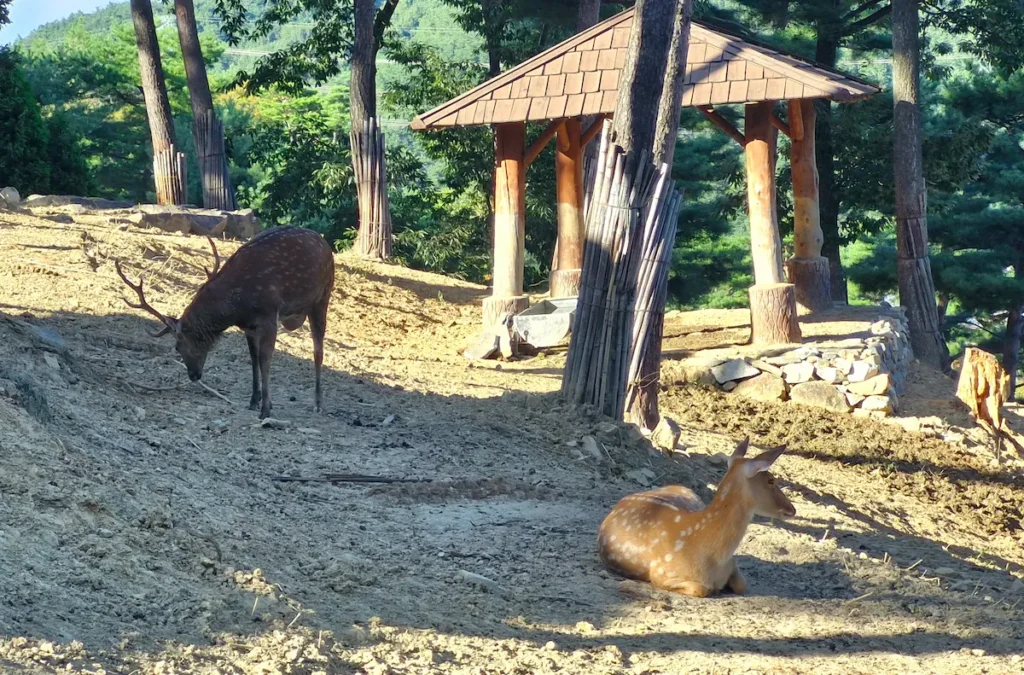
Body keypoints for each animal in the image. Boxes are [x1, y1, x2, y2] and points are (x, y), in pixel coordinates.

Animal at [115, 226, 336, 419]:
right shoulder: (249, 326)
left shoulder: (269, 314)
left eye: (177, 347)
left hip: (323, 296)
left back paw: (318, 403)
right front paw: (253, 401)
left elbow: (265, 359)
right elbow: (253, 359)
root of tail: (325, 243)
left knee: (318, 351)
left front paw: (266, 408)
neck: (236, 307)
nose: (193, 375)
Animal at [597, 437, 795, 598]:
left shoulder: (733, 563)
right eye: (771, 480)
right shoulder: (660, 572)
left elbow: (742, 584)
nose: (792, 509)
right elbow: (700, 589)